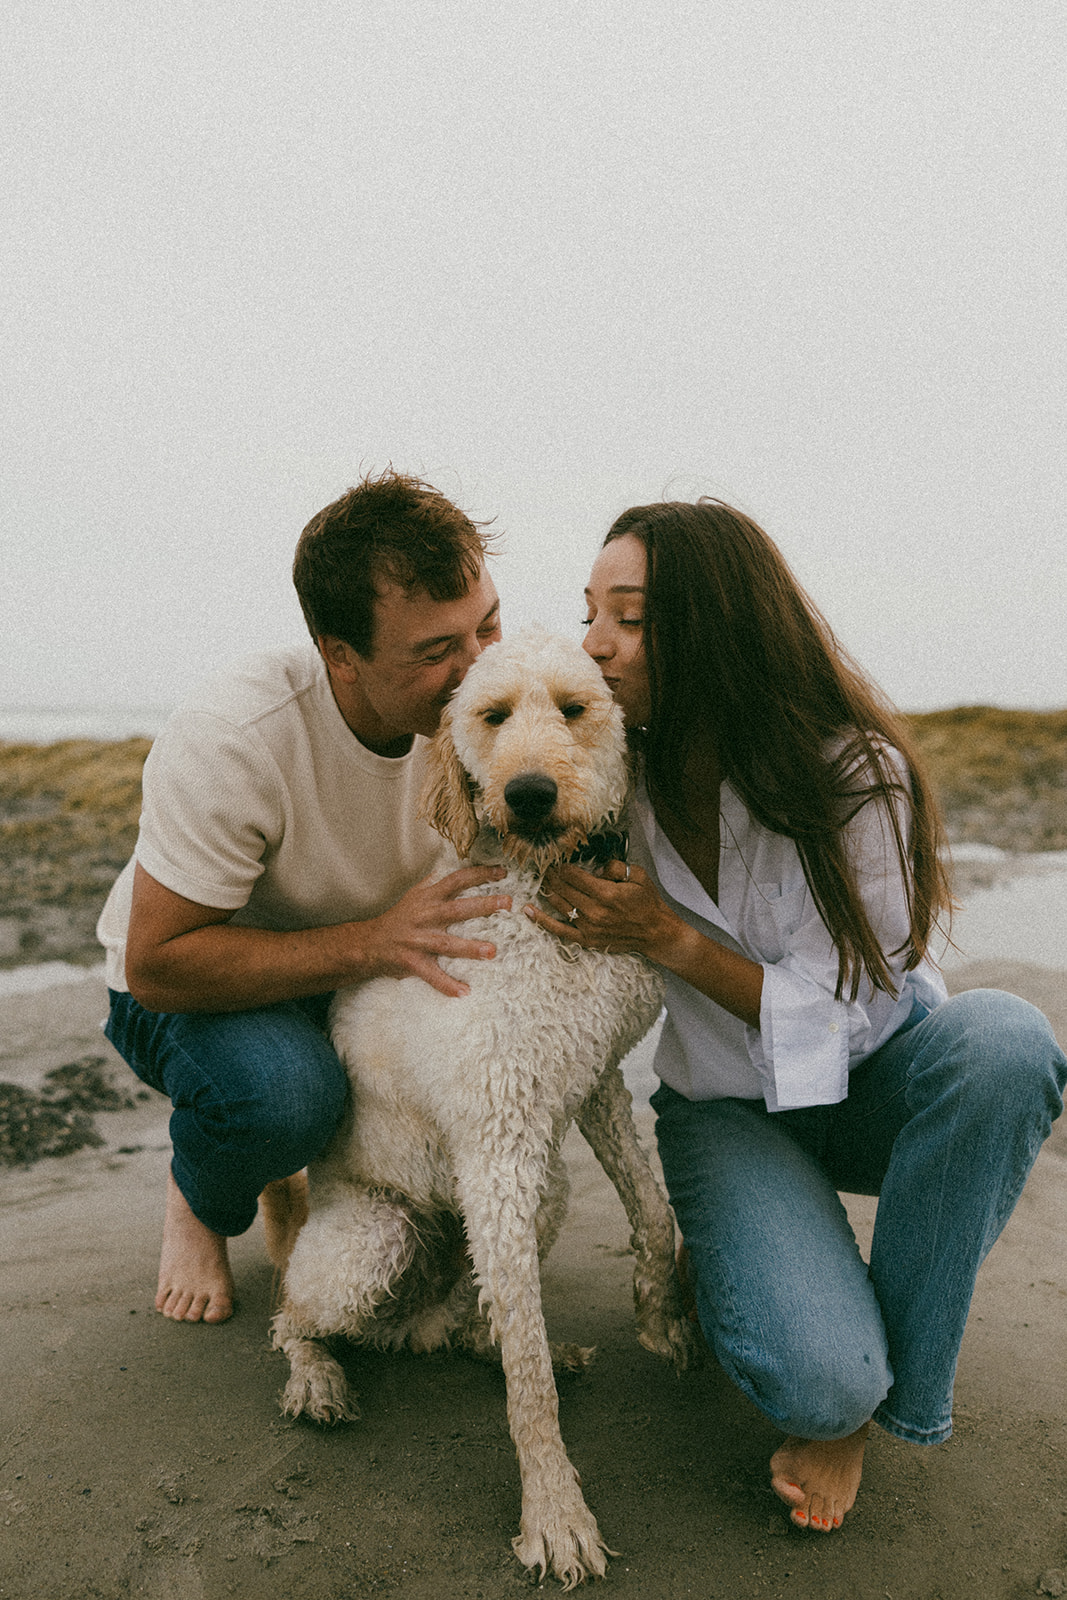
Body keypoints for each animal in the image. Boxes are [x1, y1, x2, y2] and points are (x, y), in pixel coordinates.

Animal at [267, 627, 694, 1587]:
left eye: (575, 707)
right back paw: (315, 1378)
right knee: (294, 1316)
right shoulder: (498, 1141)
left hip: (537, 1198)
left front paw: (661, 1317)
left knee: (471, 1318)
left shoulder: (594, 1079)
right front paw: (556, 1514)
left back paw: (476, 1339)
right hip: (376, 1238)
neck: (539, 892)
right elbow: (528, 1385)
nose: (528, 794)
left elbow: (653, 1216)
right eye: (491, 716)